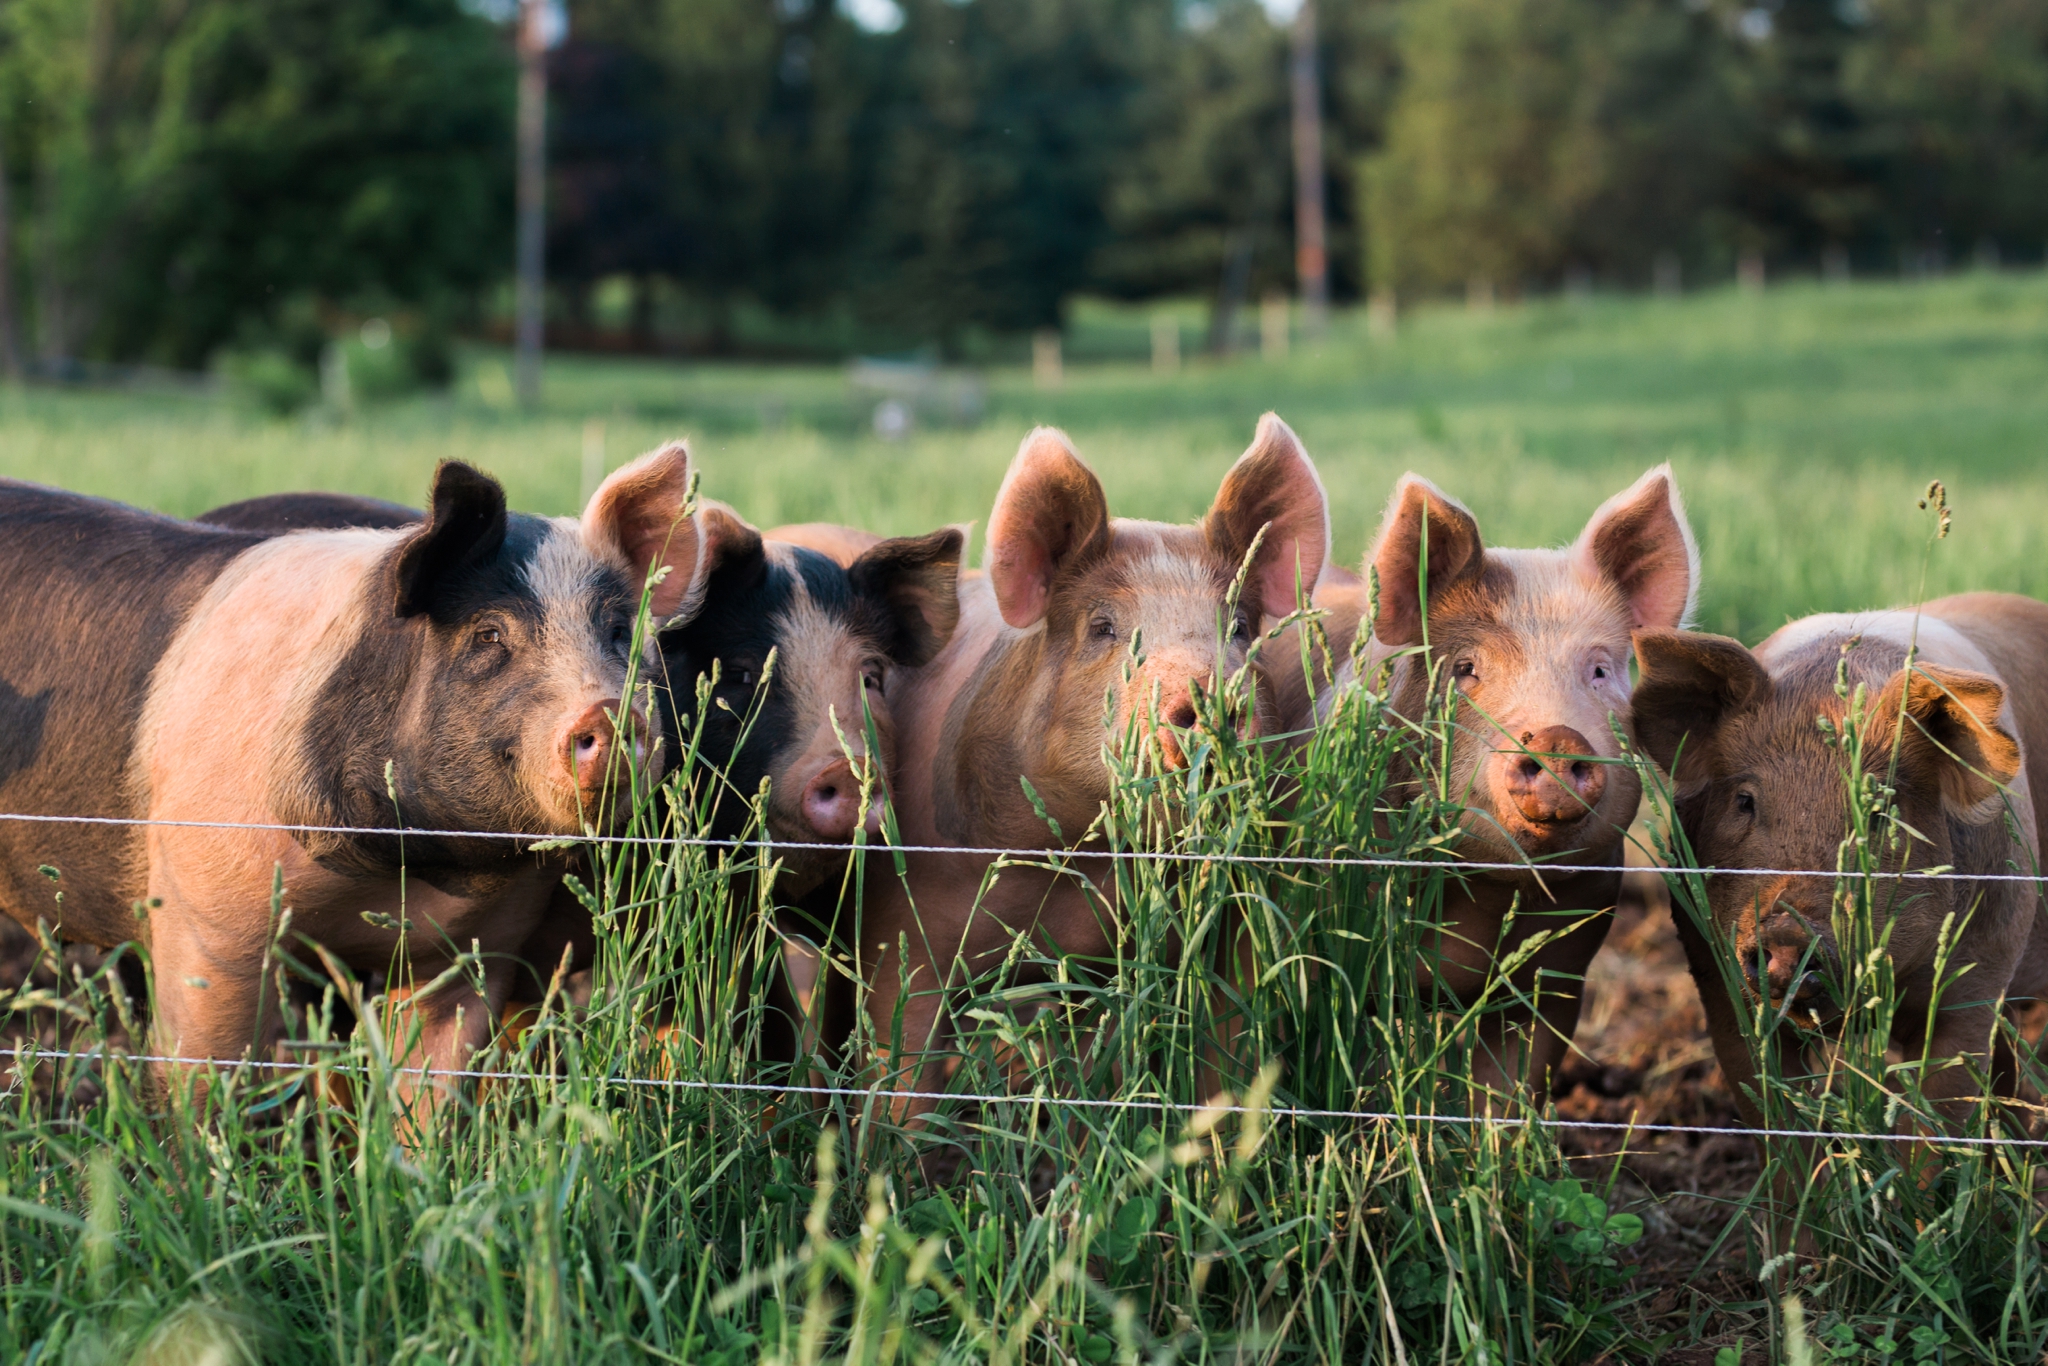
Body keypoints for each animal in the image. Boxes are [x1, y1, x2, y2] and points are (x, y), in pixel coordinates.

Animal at [0, 448, 704, 1114]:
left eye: (618, 633)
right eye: (489, 634)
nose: (610, 713)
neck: (405, 862)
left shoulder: (474, 947)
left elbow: (433, 1076)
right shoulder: (204, 916)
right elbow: (206, 1073)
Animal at [823, 417, 1335, 1122]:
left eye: (1236, 627)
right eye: (1103, 627)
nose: (1208, 698)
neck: (1074, 856)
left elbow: (1206, 1058)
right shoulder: (898, 931)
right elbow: (900, 1065)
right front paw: (888, 1144)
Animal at [1277, 464, 1695, 1105]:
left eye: (1600, 670)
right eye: (1465, 669)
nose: (1557, 735)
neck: (1488, 891)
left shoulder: (1563, 965)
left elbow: (1512, 1085)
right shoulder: (1346, 945)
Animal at [1630, 593, 2048, 1122]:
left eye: (1881, 811)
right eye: (1745, 801)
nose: (1787, 932)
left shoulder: (1979, 974)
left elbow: (1940, 1106)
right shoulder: (1717, 977)